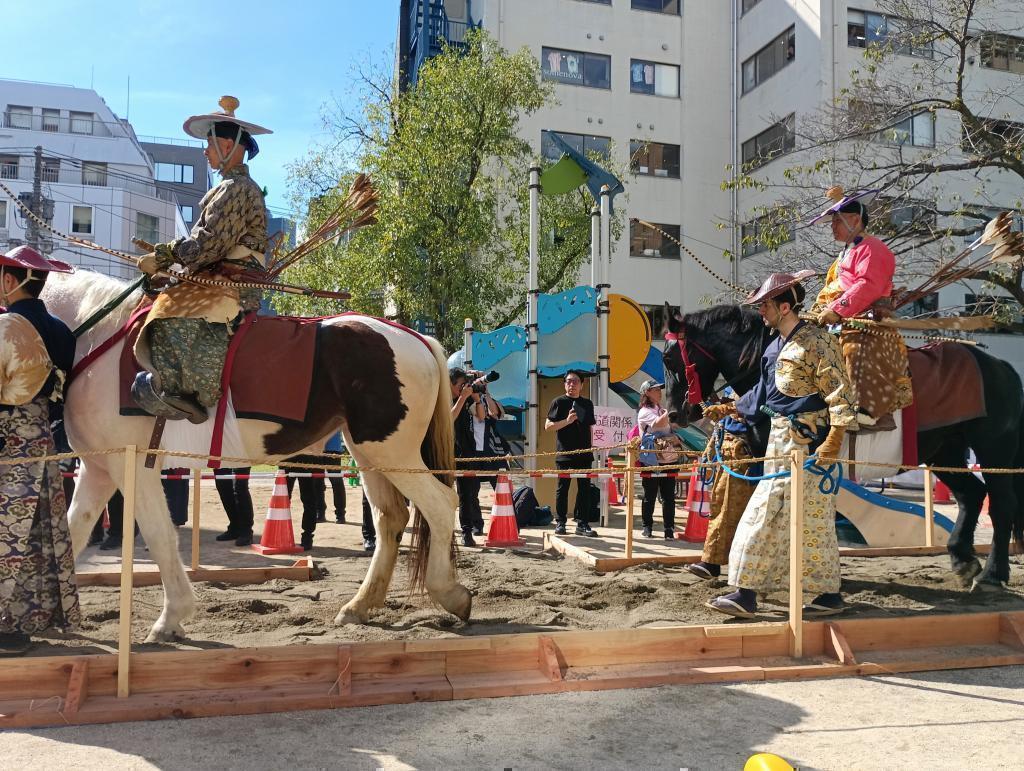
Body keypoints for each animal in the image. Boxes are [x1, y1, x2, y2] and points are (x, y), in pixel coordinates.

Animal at [41, 268, 468, 638]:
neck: (97, 338)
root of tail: (415, 338)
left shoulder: (133, 464)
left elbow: (160, 536)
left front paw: (171, 618)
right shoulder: (98, 468)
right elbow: (73, 530)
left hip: (391, 450)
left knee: (440, 505)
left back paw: (450, 593)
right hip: (369, 453)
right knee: (390, 518)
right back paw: (360, 605)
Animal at [663, 303, 1024, 589]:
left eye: (671, 358)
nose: (675, 413)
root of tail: (1002, 368)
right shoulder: (756, 454)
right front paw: (710, 564)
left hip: (994, 449)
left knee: (1002, 504)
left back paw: (993, 574)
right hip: (945, 450)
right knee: (971, 495)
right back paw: (964, 562)